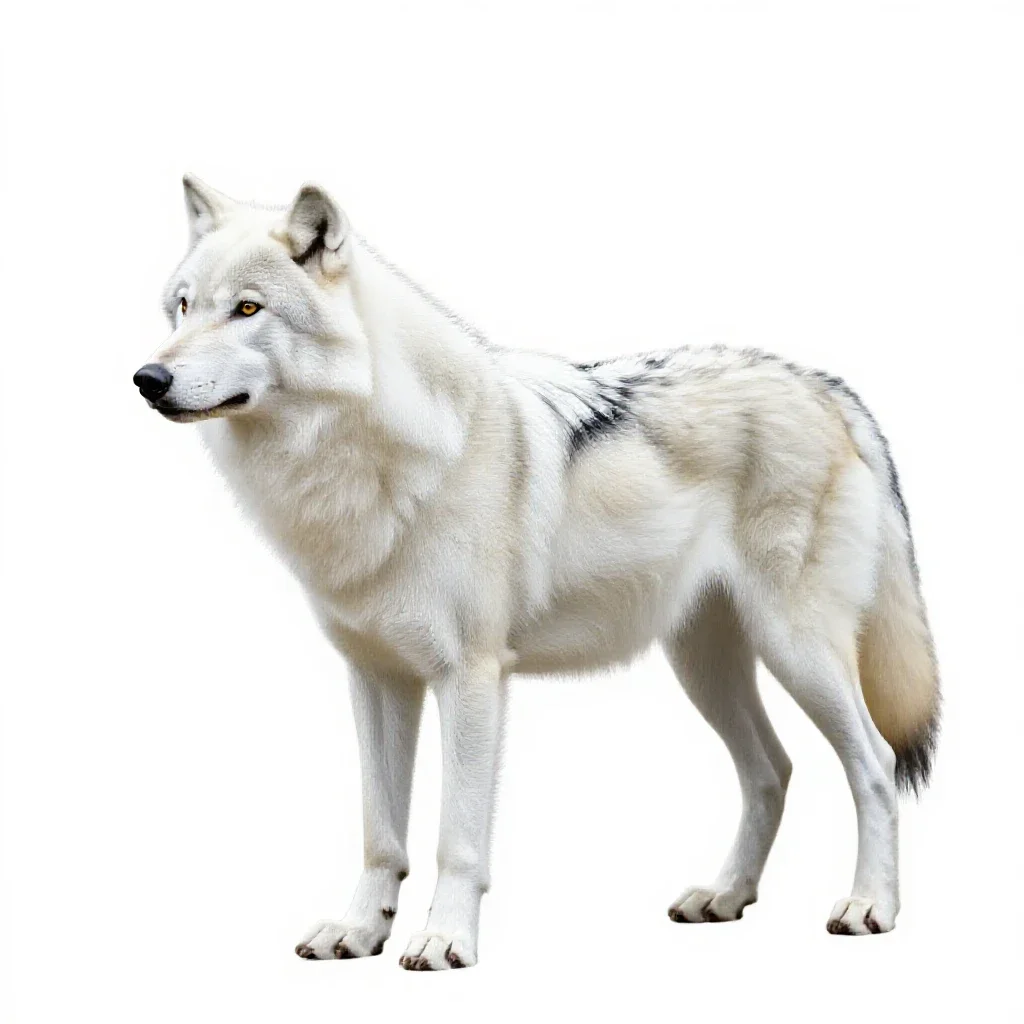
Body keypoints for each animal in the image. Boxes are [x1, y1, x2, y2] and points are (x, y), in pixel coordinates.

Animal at [134, 176, 939, 969]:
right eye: (183, 306)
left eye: (247, 309)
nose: (148, 377)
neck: (366, 459)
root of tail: (823, 385)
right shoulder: (376, 677)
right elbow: (380, 834)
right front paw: (359, 932)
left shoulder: (471, 677)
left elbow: (456, 839)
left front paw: (444, 940)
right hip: (705, 666)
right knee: (772, 770)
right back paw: (723, 897)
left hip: (796, 650)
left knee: (872, 764)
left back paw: (870, 907)